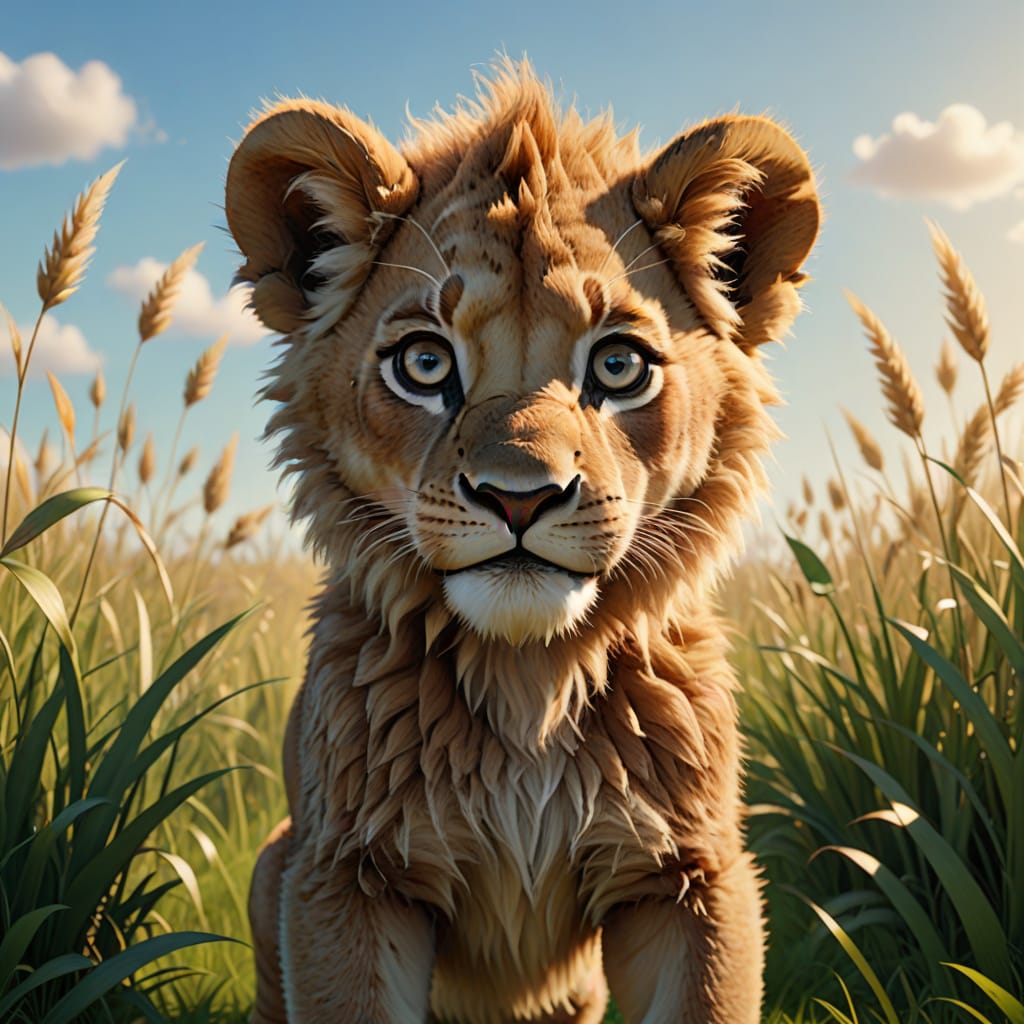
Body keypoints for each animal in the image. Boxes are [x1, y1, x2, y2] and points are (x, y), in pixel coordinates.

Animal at [224, 60, 819, 1023]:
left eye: (618, 365)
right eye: (425, 363)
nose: (519, 497)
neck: (529, 677)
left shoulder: (688, 877)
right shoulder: (347, 876)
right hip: (275, 861)